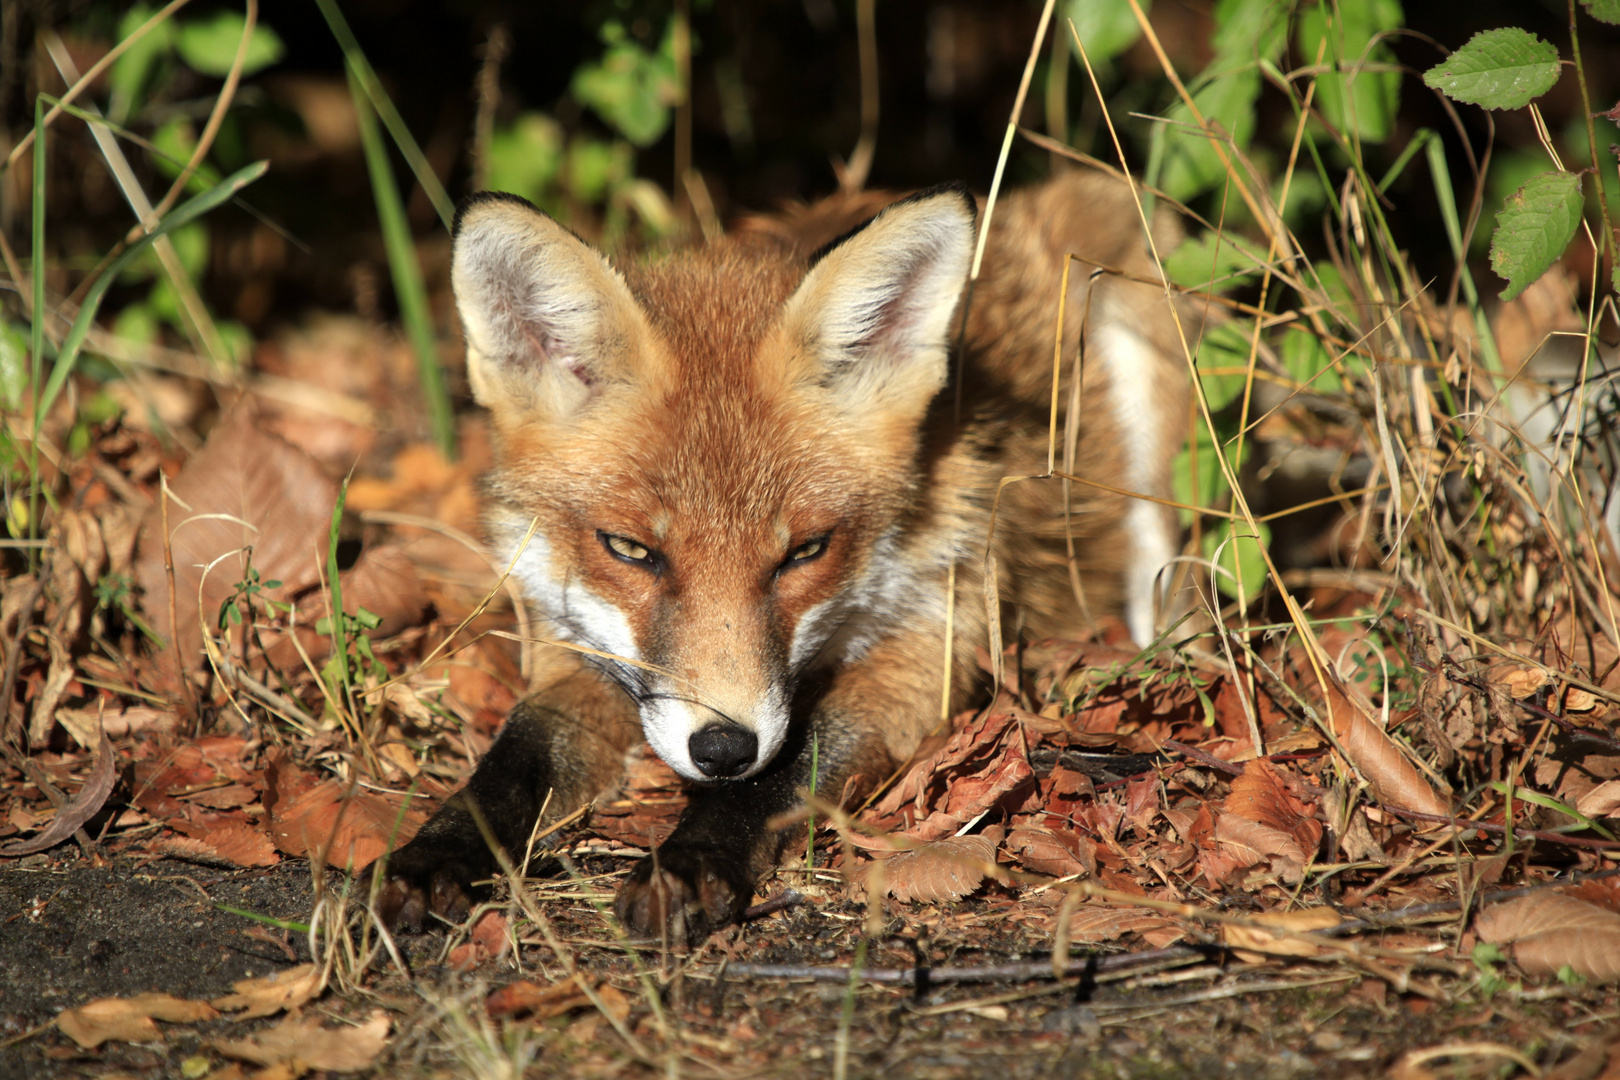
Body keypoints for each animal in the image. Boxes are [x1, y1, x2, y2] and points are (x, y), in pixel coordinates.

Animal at [375, 170, 1192, 945]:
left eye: (805, 552)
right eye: (632, 550)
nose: (723, 748)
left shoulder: (926, 649)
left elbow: (790, 768)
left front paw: (690, 860)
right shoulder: (577, 649)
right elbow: (511, 766)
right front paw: (433, 854)